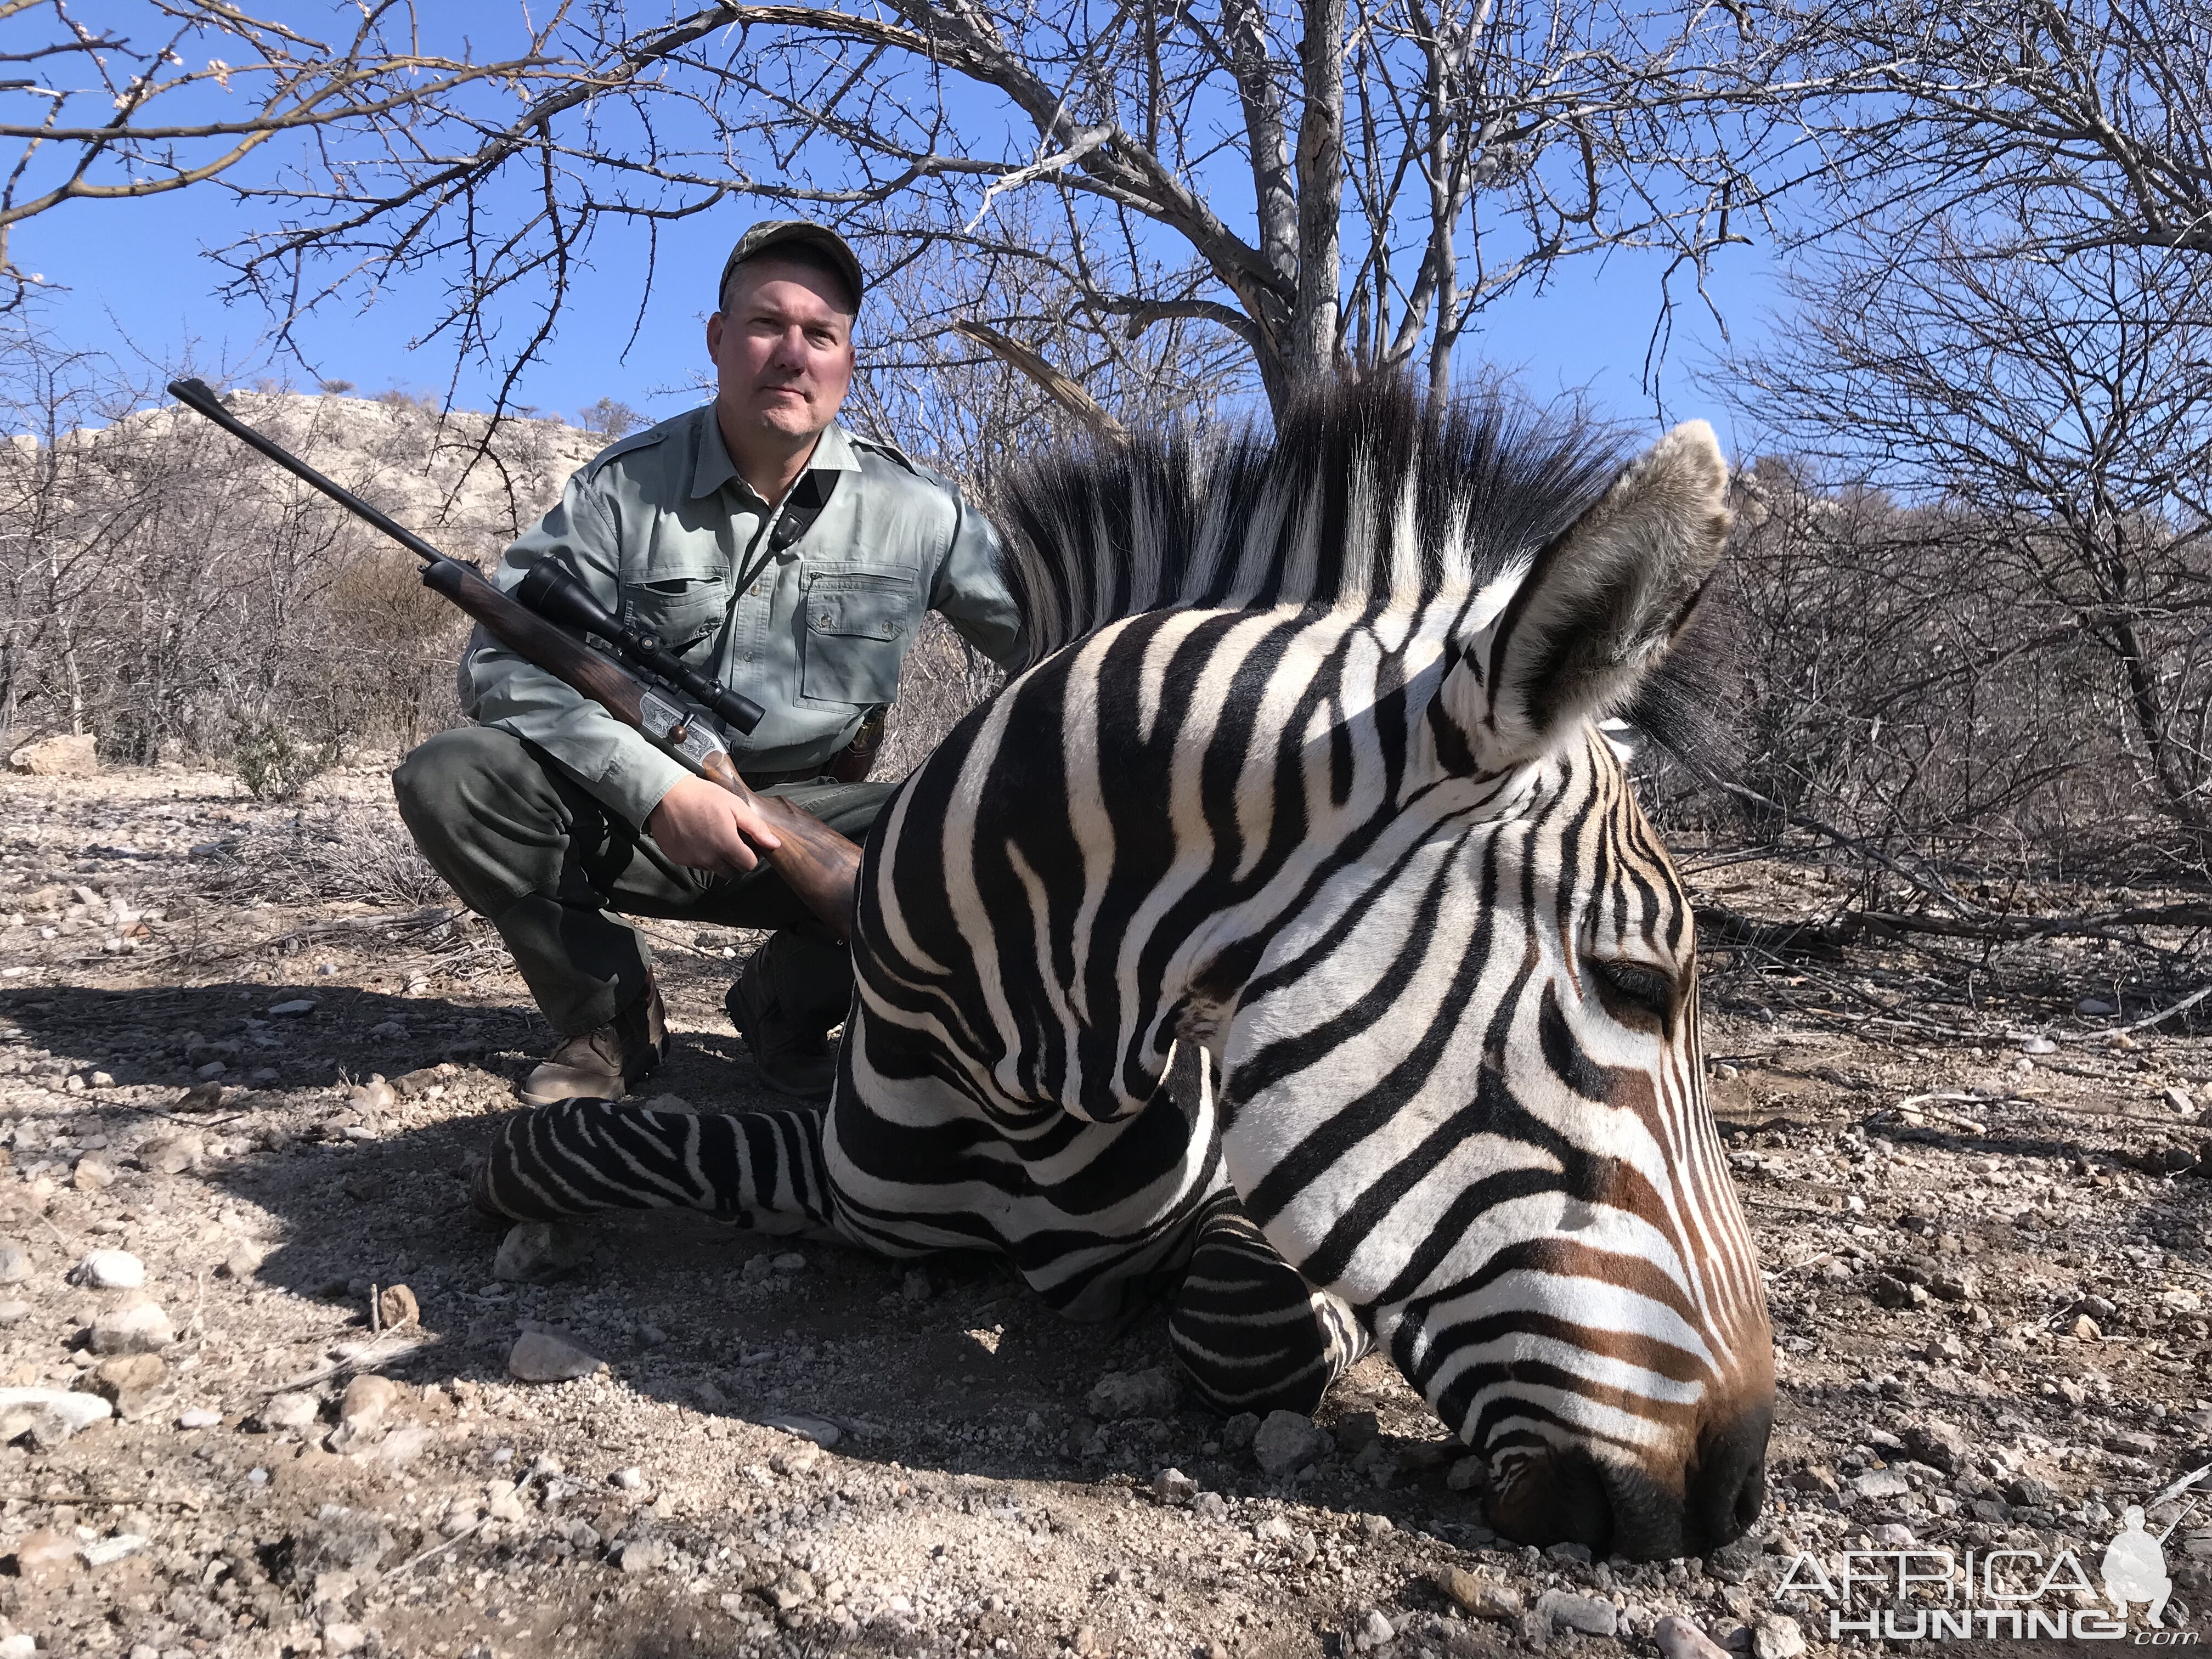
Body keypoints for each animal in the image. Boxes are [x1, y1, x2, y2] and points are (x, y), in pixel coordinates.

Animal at [479, 382, 1778, 1566]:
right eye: (1634, 985)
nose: (1739, 1492)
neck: (1011, 1066)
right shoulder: (834, 1178)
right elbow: (543, 1149)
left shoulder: (1258, 1203)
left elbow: (1245, 1320)